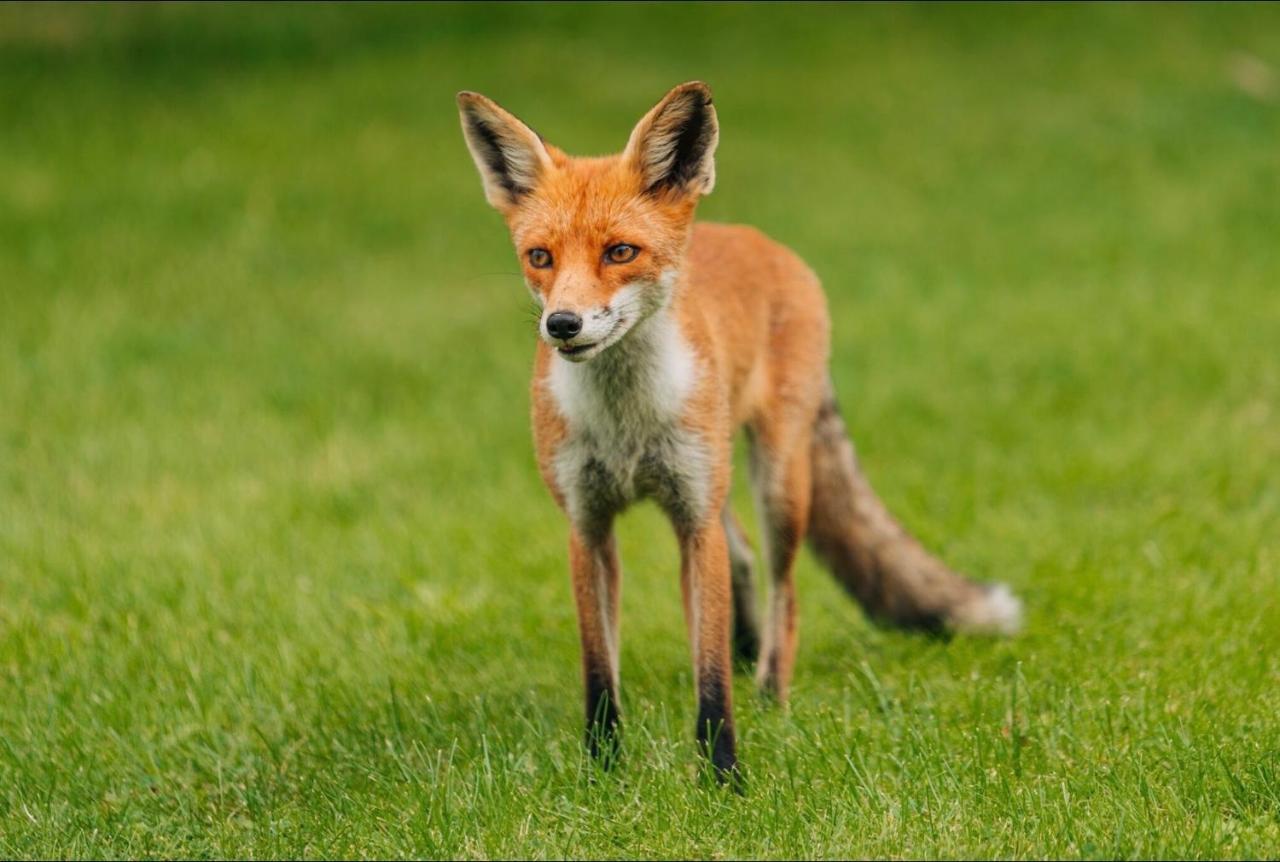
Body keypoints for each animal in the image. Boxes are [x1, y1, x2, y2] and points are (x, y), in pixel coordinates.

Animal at [458, 82, 1018, 778]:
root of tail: (760, 239)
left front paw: (723, 774)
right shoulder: (587, 525)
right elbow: (599, 670)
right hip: (715, 480)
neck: (627, 422)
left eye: (620, 252)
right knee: (746, 558)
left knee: (785, 588)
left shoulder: (694, 520)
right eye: (540, 258)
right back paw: (750, 650)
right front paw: (604, 768)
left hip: (774, 480)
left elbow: (710, 671)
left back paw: (771, 693)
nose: (562, 324)